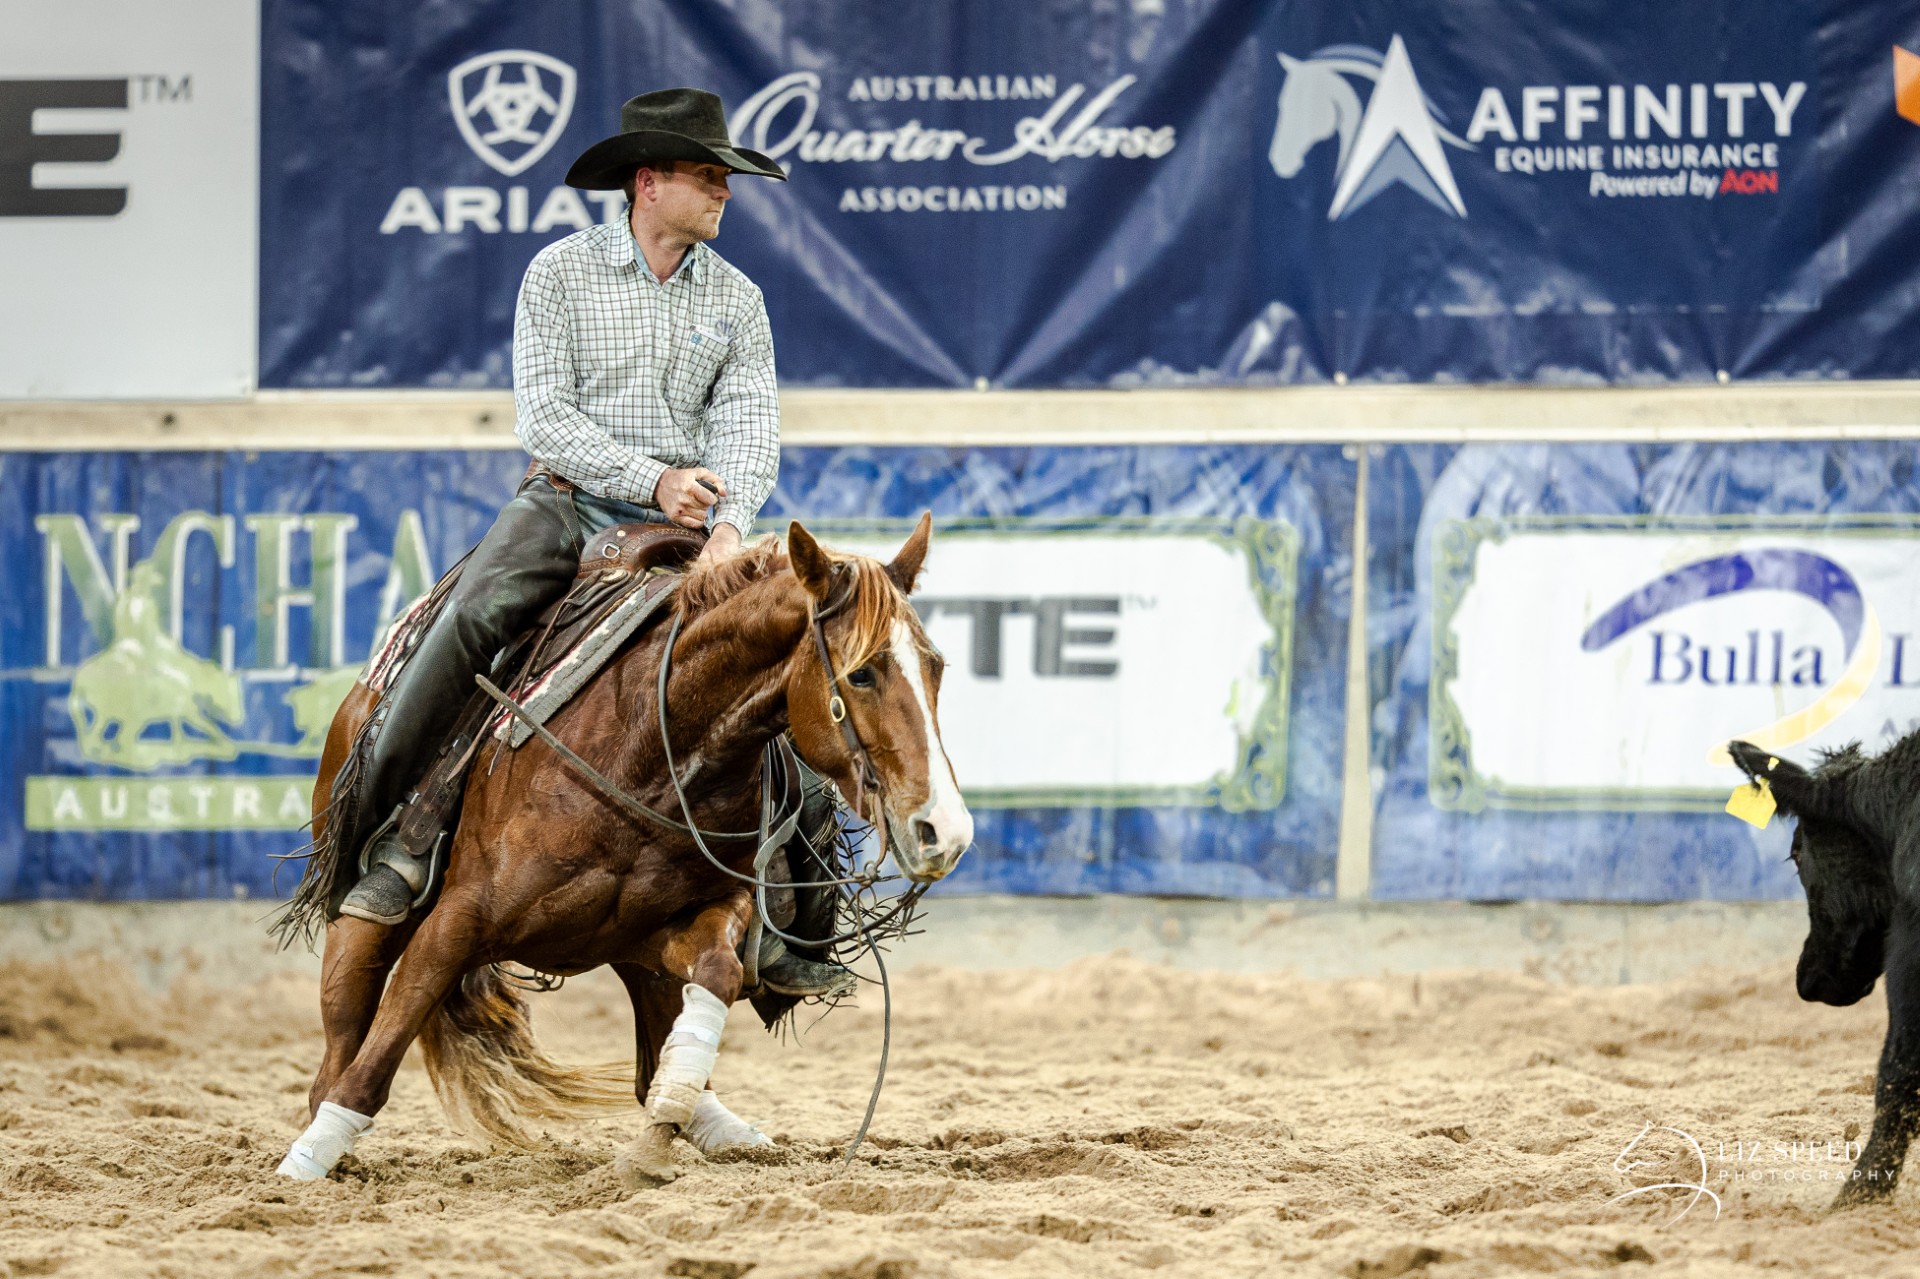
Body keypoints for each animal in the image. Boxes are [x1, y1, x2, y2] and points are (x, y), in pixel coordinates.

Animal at [274, 516, 972, 1188]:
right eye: (861, 672)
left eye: (936, 666)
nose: (946, 830)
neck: (651, 750)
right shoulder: (456, 922)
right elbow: (373, 1064)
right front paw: (301, 1170)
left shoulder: (685, 924)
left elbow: (716, 977)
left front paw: (655, 1141)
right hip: (364, 922)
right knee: (339, 1052)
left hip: (634, 959)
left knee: (648, 1062)